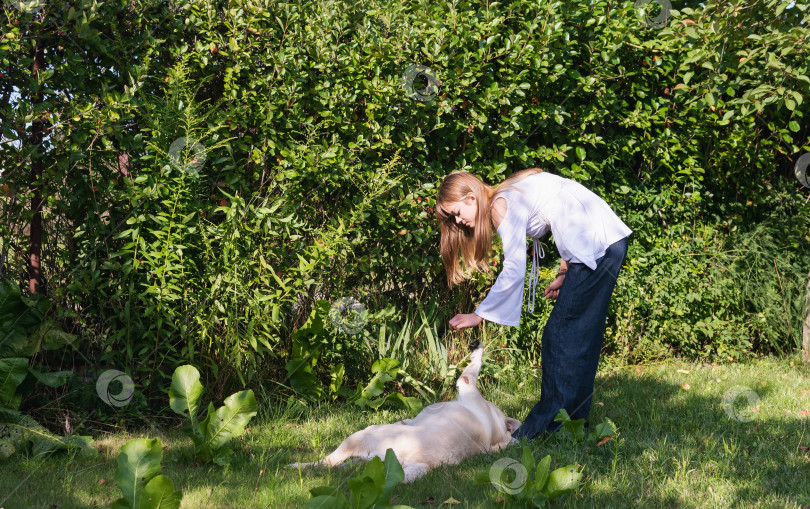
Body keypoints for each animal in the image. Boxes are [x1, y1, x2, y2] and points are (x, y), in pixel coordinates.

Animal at [288, 342, 516, 480]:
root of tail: (422, 463)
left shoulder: (466, 383)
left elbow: (474, 364)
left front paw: (477, 350)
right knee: (338, 465)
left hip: (364, 434)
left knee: (326, 462)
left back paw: (294, 466)